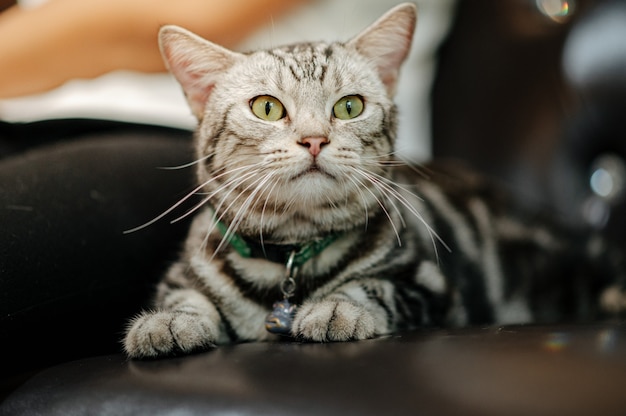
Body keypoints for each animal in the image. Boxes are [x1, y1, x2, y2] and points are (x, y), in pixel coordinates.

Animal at [123, 3, 624, 360]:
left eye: (349, 107)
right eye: (266, 107)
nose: (314, 139)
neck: (290, 258)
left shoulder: (428, 285)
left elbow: (370, 286)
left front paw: (335, 308)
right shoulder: (182, 276)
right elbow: (186, 298)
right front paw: (165, 323)